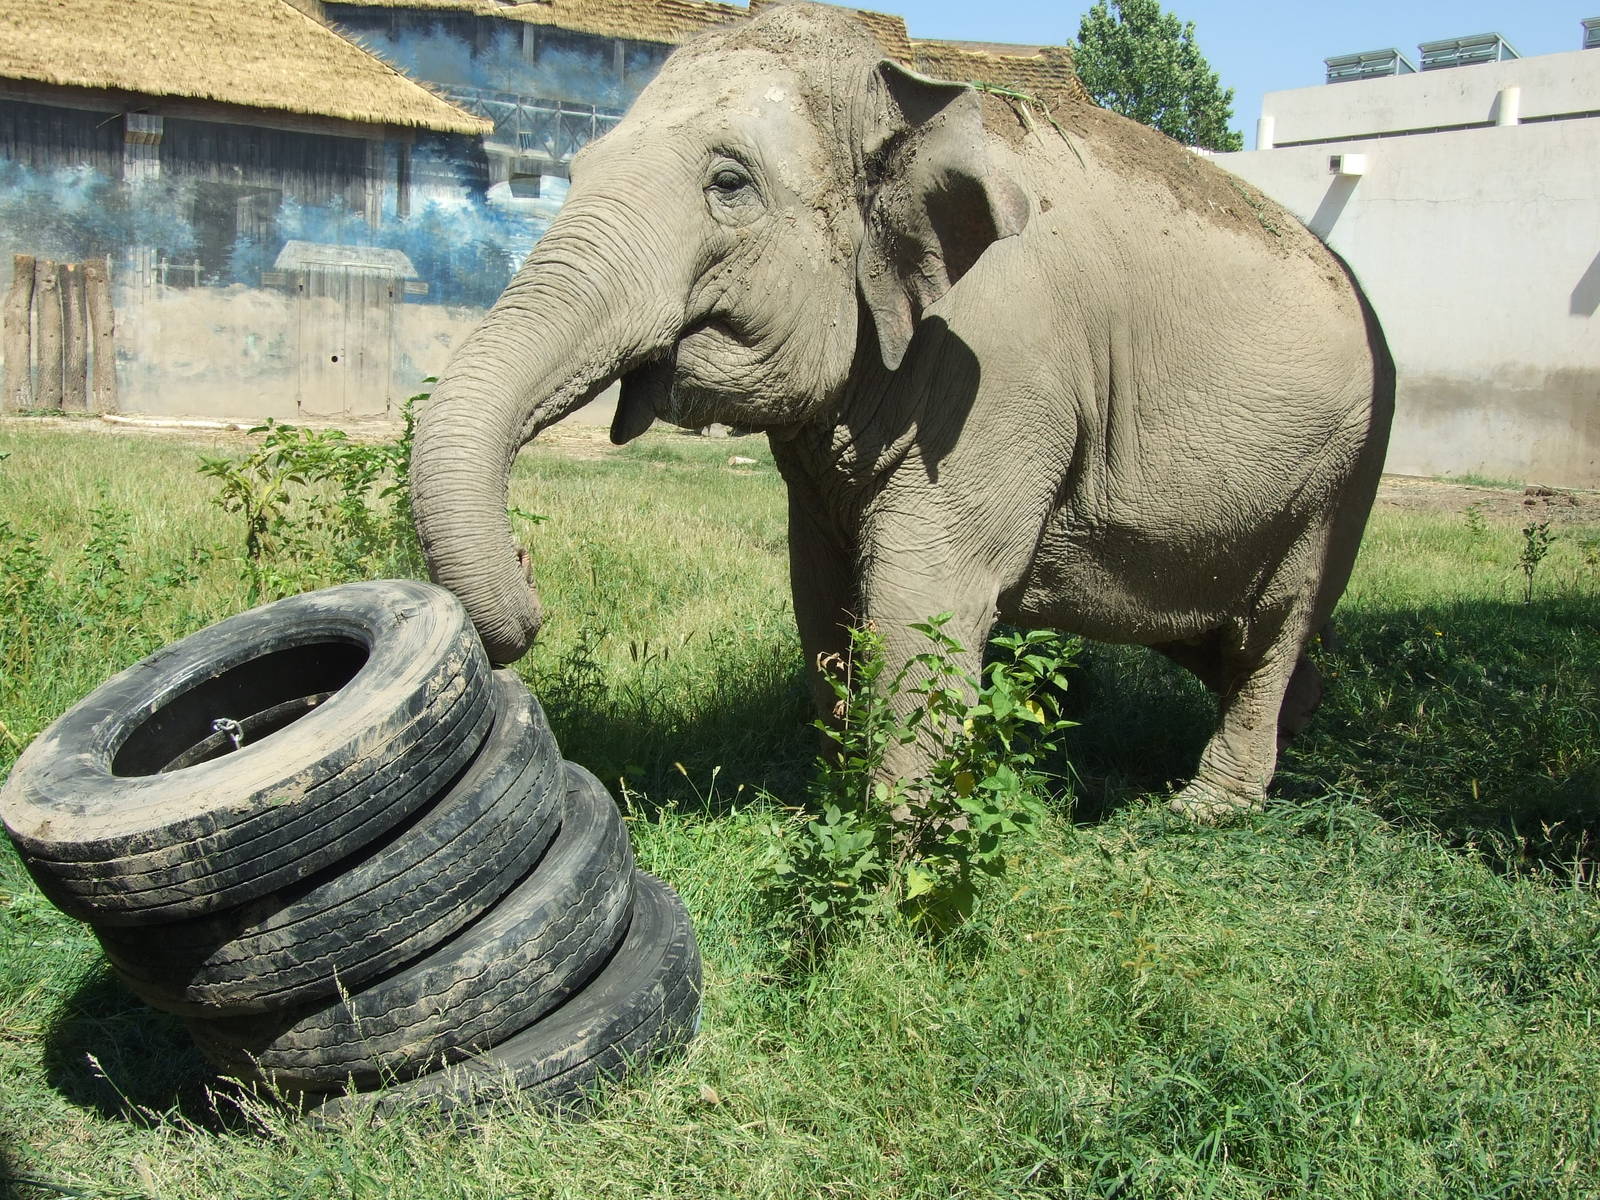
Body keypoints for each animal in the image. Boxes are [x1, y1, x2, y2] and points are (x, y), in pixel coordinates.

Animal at [409, 2, 1394, 820]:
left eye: (729, 183)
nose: (531, 575)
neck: (902, 94)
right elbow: (822, 588)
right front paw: (833, 800)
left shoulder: (999, 373)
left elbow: (922, 592)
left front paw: (897, 849)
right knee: (1210, 628)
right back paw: (1296, 727)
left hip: (1343, 470)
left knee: (1274, 620)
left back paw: (1208, 807)